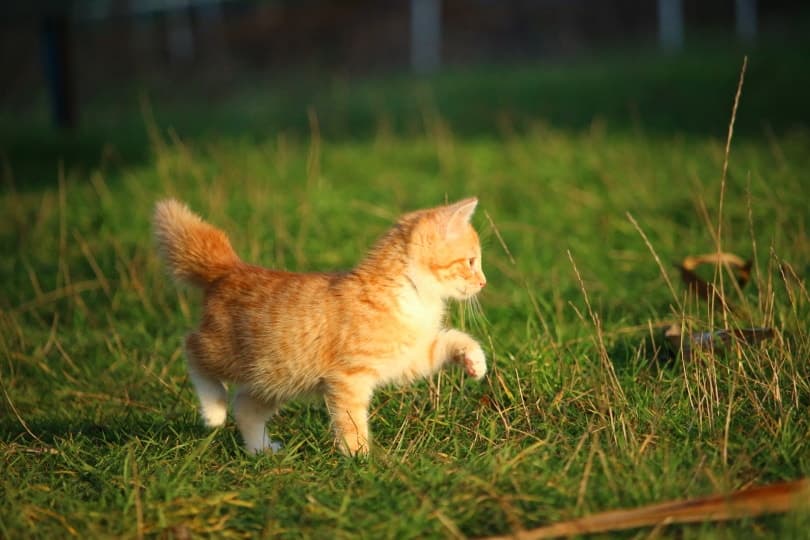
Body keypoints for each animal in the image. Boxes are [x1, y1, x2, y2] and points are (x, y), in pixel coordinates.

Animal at [155, 196, 490, 454]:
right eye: (471, 262)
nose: (484, 282)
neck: (410, 292)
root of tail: (230, 268)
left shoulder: (410, 356)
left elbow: (450, 341)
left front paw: (475, 362)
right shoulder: (349, 377)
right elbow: (351, 420)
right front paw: (360, 459)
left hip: (278, 376)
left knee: (245, 405)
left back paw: (261, 450)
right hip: (227, 350)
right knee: (191, 347)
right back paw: (212, 410)